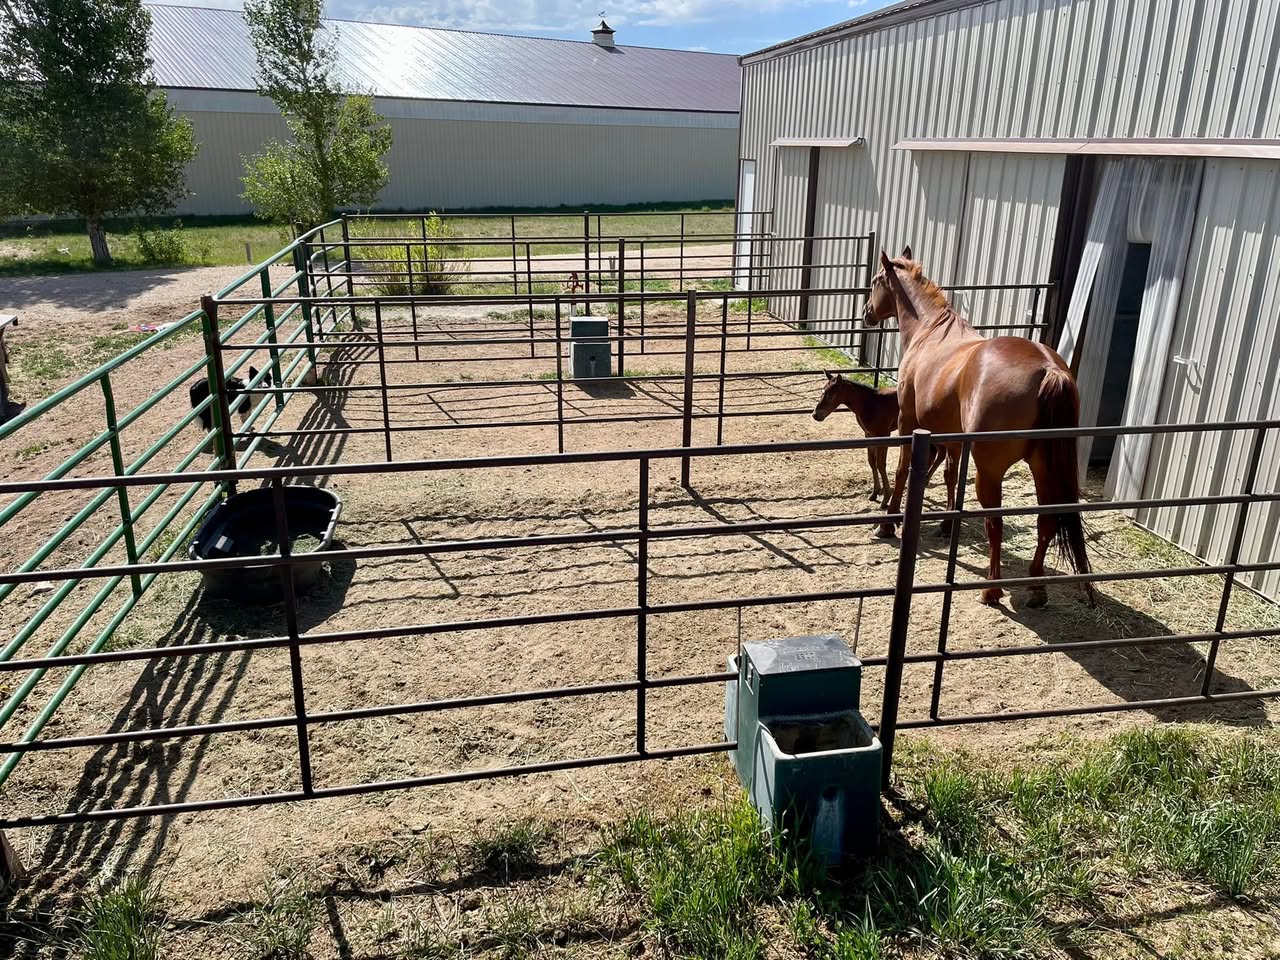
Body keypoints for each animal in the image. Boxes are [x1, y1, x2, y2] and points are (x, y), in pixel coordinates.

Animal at [811, 371, 944, 503]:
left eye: (831, 395)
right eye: (823, 391)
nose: (815, 415)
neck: (870, 404)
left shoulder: (884, 434)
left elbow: (880, 463)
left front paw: (886, 497)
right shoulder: (869, 434)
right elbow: (872, 461)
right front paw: (875, 493)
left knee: (940, 453)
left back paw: (924, 480)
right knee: (936, 453)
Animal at [863, 247, 1094, 608]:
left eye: (876, 281)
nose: (867, 313)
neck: (930, 332)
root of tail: (1049, 370)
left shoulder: (907, 421)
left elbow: (902, 471)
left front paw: (887, 523)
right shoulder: (952, 438)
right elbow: (949, 477)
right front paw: (946, 525)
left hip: (991, 471)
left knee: (995, 522)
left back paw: (992, 589)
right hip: (1043, 467)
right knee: (1046, 520)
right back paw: (1036, 588)